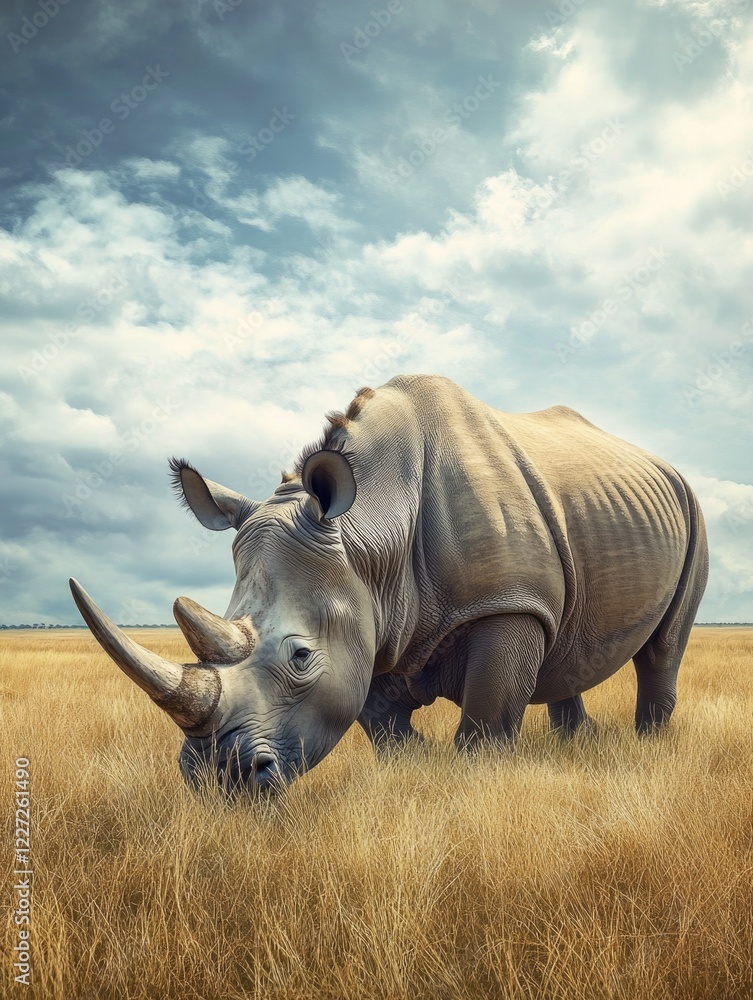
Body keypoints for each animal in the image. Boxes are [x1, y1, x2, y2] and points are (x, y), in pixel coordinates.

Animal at [70, 374, 708, 794]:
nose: (216, 781)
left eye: (300, 657)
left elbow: (486, 723)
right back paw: (577, 744)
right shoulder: (372, 614)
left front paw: (467, 781)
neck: (369, 533)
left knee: (664, 647)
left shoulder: (507, 605)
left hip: (691, 506)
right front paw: (415, 764)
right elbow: (378, 721)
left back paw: (649, 745)